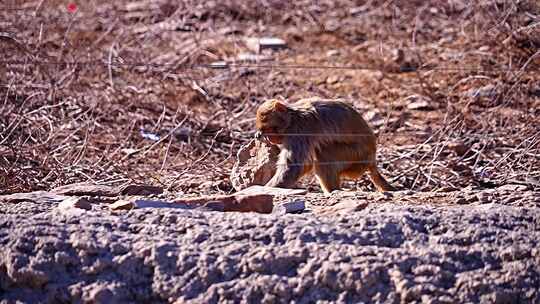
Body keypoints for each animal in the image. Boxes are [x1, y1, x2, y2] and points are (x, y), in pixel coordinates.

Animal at [255, 97, 394, 192]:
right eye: (264, 131)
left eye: (270, 129)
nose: (270, 139)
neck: (292, 118)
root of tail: (372, 158)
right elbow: (305, 164)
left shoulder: (299, 131)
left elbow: (292, 168)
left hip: (358, 157)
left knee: (325, 151)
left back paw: (333, 191)